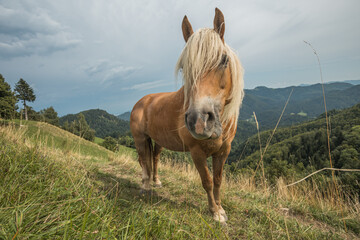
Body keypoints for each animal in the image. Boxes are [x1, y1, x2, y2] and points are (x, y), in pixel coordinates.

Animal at [129, 7, 245, 223]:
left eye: (224, 60)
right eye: (184, 68)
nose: (199, 121)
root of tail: (141, 101)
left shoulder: (223, 151)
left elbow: (218, 180)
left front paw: (220, 209)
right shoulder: (196, 153)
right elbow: (207, 181)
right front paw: (214, 212)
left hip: (159, 141)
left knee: (154, 158)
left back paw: (156, 181)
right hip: (140, 139)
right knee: (143, 160)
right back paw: (145, 185)